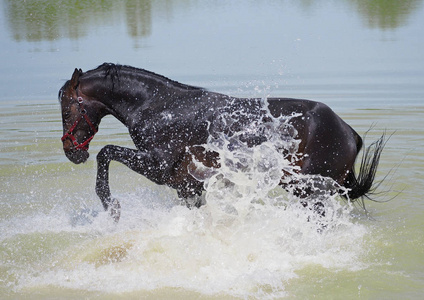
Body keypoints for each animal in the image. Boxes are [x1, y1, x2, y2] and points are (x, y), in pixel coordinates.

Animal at [58, 63, 386, 223]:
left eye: (66, 108)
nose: (71, 152)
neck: (158, 106)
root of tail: (349, 132)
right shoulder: (187, 187)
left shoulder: (157, 167)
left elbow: (105, 153)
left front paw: (111, 207)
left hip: (309, 189)